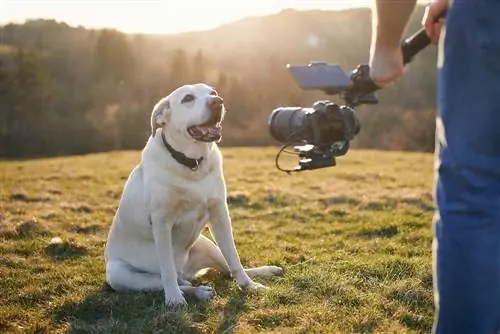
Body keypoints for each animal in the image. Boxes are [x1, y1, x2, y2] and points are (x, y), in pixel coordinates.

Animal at [103, 82, 284, 306]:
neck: (192, 163)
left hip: (208, 245)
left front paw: (249, 286)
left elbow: (234, 257)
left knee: (226, 269)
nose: (217, 102)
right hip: (120, 274)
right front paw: (173, 299)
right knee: (175, 281)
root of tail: (187, 272)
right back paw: (196, 291)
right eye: (188, 98)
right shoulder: (161, 222)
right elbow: (167, 269)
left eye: (213, 93)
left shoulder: (219, 214)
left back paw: (264, 272)